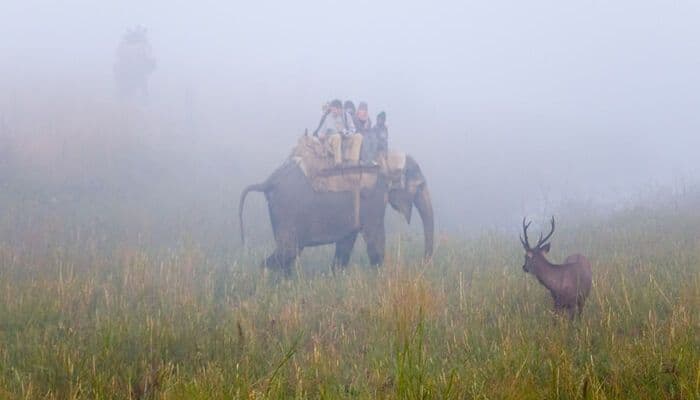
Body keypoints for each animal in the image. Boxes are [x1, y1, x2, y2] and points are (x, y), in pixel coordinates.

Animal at [238, 156, 434, 271]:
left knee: (289, 254)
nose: (423, 263)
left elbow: (346, 242)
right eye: (421, 186)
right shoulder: (373, 198)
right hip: (286, 211)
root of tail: (267, 182)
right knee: (287, 252)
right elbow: (374, 239)